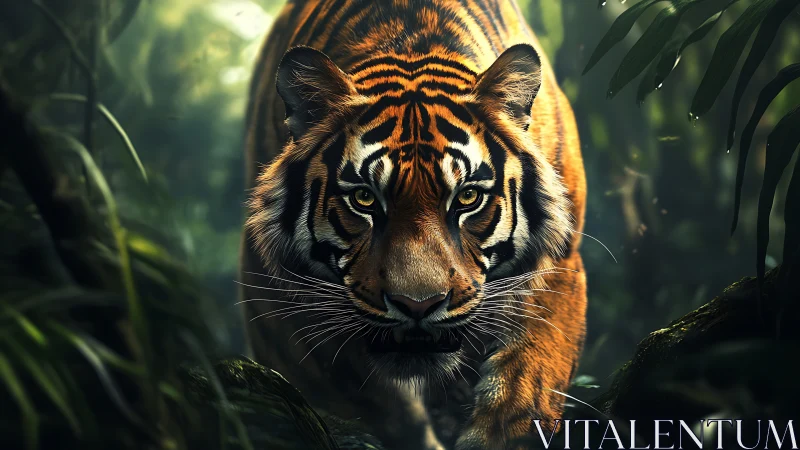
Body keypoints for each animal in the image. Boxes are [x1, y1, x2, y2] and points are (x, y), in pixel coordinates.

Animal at [239, 0, 587, 449]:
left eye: (467, 198)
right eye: (364, 198)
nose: (418, 305)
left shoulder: (562, 262)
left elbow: (534, 370)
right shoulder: (278, 301)